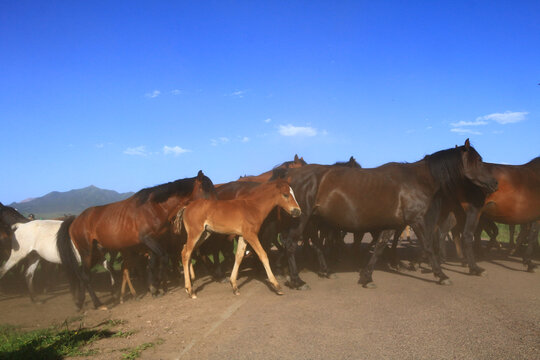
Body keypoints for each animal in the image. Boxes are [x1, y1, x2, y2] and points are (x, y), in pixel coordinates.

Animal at [58, 172, 218, 310]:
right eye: (205, 188)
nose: (216, 208)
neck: (153, 208)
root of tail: (75, 221)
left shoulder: (153, 241)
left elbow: (152, 263)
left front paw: (154, 288)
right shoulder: (148, 239)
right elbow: (163, 258)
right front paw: (157, 285)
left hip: (96, 253)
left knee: (81, 275)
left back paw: (80, 303)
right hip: (87, 252)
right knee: (85, 276)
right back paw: (99, 304)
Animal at [274, 139, 498, 288]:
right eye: (478, 160)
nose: (494, 183)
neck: (416, 180)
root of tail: (290, 176)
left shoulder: (392, 223)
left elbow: (381, 246)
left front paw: (367, 277)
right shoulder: (416, 220)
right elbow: (427, 246)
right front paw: (441, 275)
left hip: (309, 220)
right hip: (301, 219)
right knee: (290, 244)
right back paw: (297, 280)